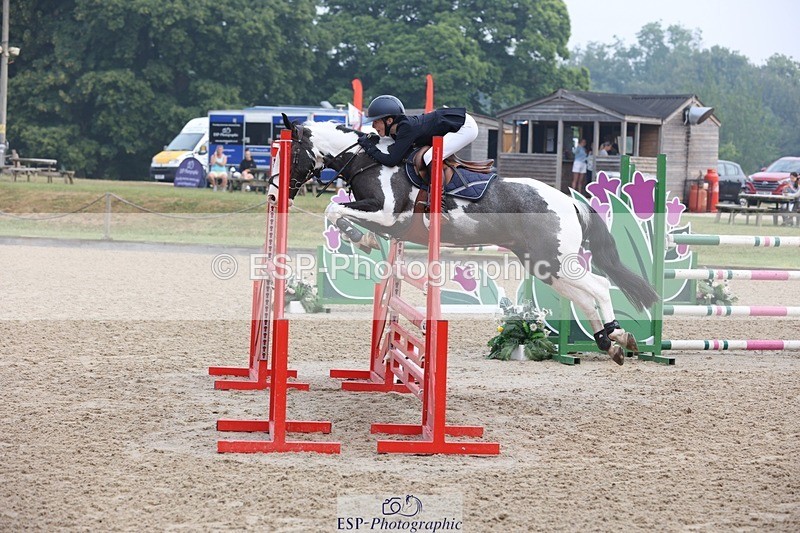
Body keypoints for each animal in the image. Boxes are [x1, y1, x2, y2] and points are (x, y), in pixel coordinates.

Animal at [272, 116, 659, 365]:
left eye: (291, 154)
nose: (276, 192)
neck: (370, 160)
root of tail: (571, 200)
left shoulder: (385, 214)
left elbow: (333, 211)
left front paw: (359, 238)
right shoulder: (385, 222)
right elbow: (338, 214)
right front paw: (362, 239)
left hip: (557, 260)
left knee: (599, 288)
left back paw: (617, 336)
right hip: (544, 264)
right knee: (584, 298)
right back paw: (609, 343)